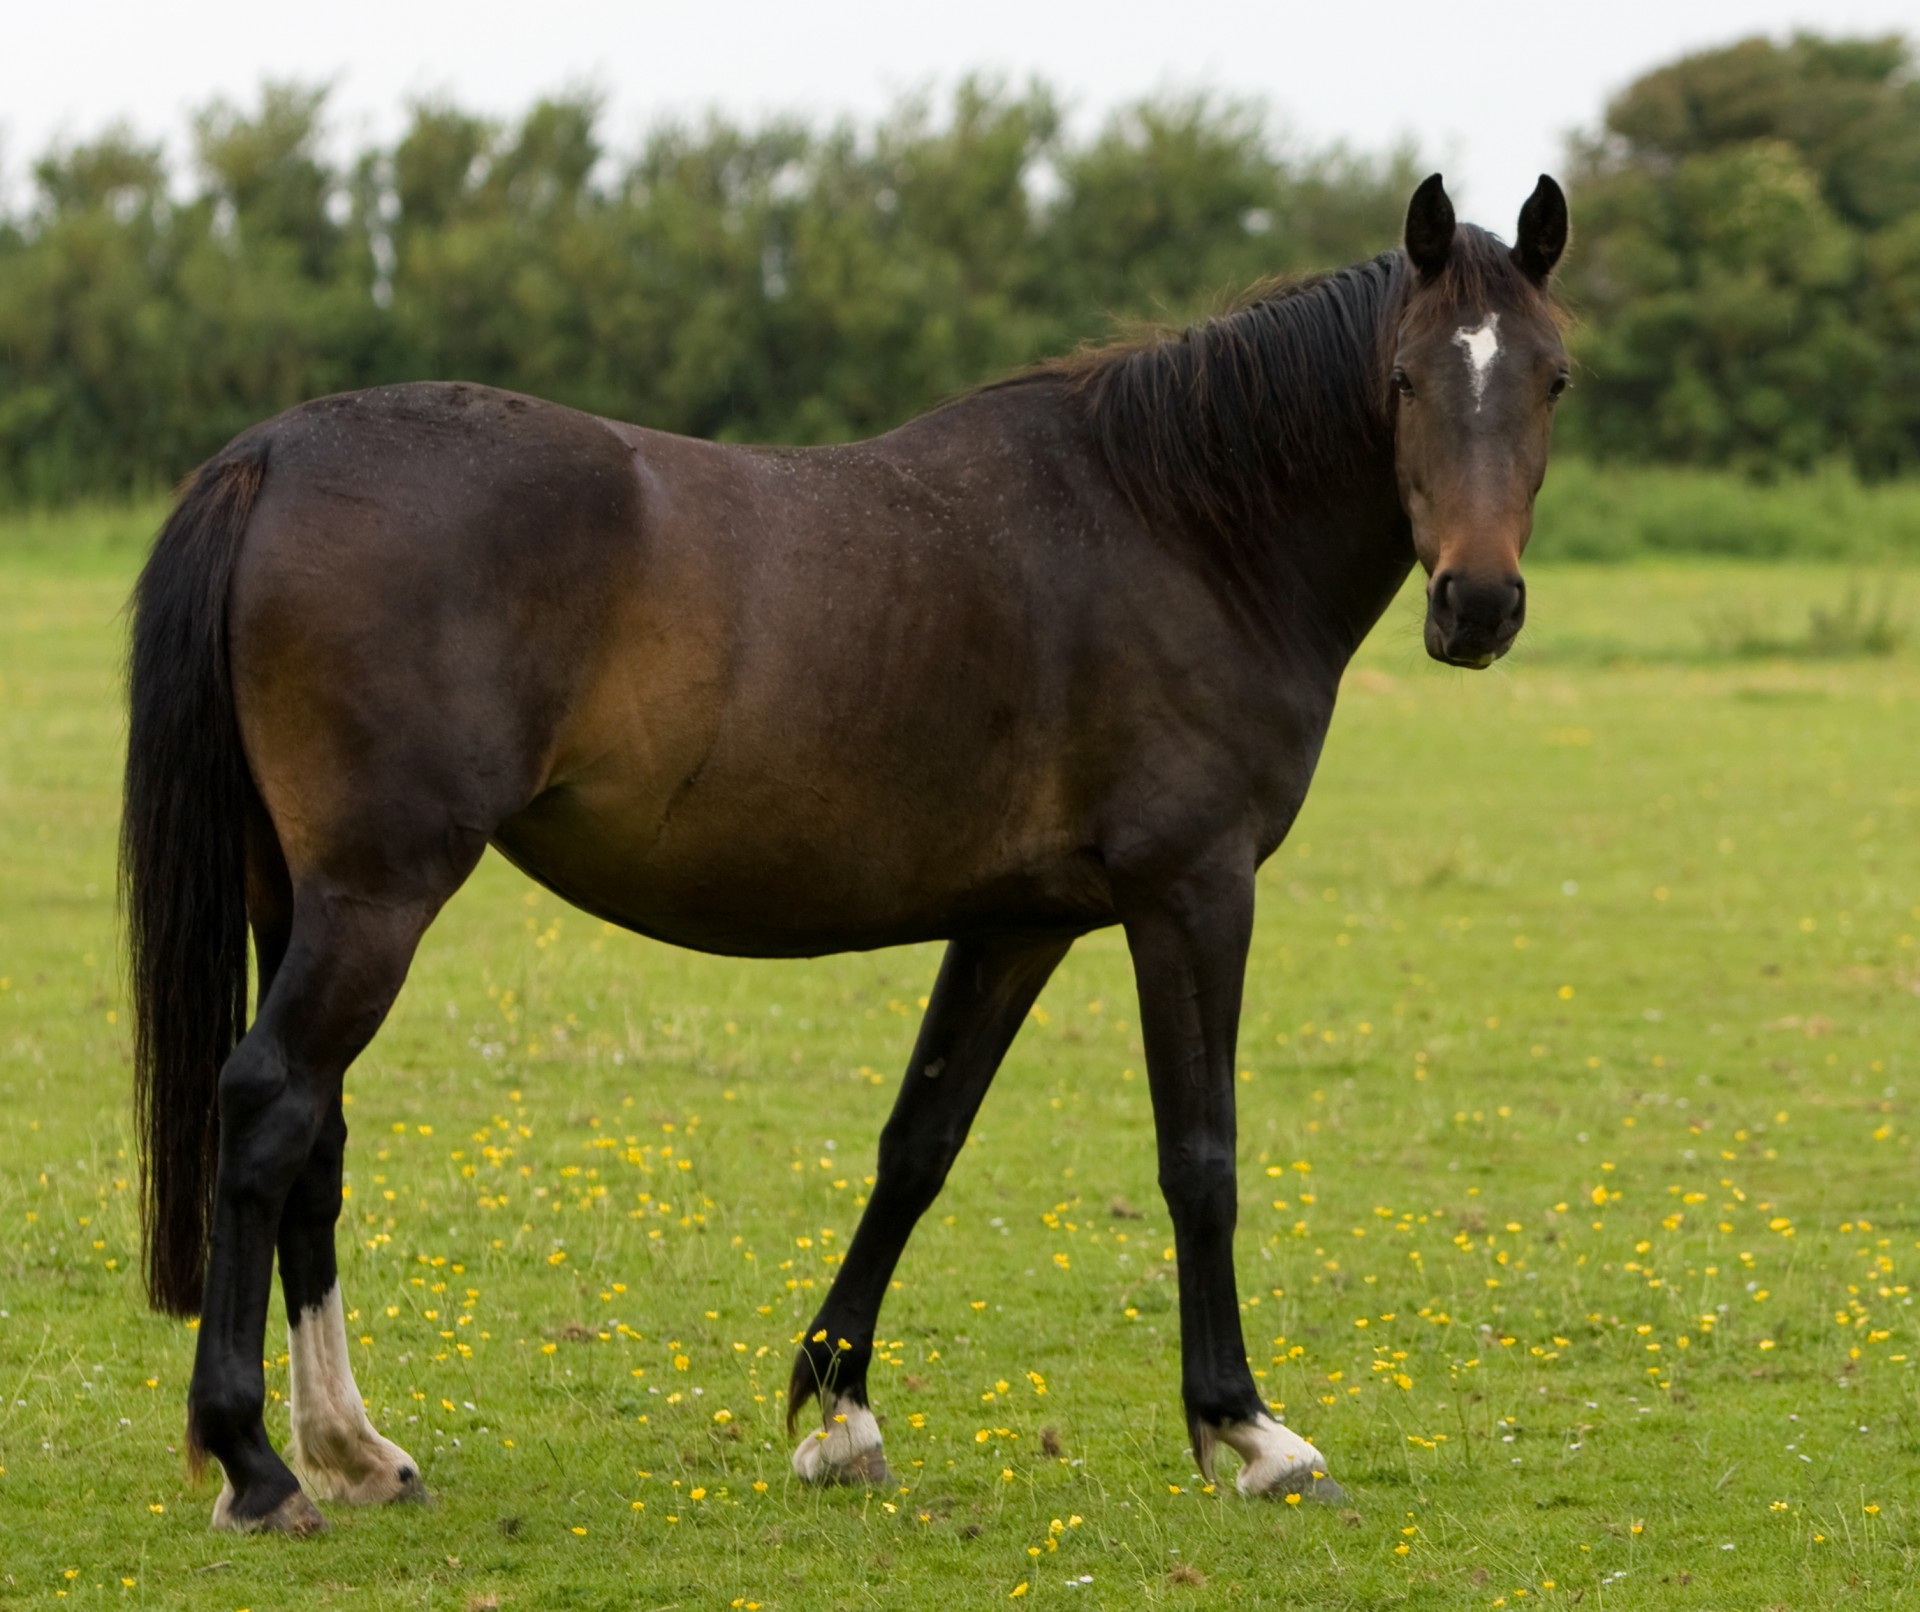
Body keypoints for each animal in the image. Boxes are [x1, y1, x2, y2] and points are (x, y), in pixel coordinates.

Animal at [120, 169, 1566, 1527]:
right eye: (1404, 377)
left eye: (1553, 377)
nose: (1478, 604)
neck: (1185, 526)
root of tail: (275, 454)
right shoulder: (1192, 893)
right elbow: (1199, 1159)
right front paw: (1249, 1432)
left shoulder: (1018, 922)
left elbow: (918, 1144)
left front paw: (839, 1409)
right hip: (376, 898)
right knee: (268, 1104)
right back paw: (259, 1465)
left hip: (301, 898)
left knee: (314, 1138)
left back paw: (355, 1450)